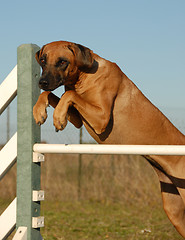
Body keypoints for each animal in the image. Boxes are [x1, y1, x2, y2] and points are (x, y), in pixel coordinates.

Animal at [33, 40, 185, 237]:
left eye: (62, 62)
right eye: (43, 60)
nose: (42, 82)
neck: (84, 77)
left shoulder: (102, 118)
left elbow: (69, 95)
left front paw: (58, 118)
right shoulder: (77, 119)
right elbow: (53, 95)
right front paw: (39, 111)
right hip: (174, 209)